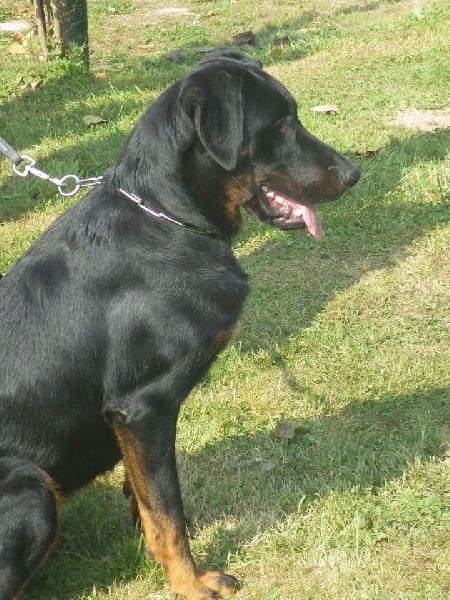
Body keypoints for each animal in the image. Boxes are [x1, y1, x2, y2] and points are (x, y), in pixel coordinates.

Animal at [0, 52, 359, 600]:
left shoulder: (131, 423)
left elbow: (149, 499)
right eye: (280, 124)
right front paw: (192, 582)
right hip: (29, 485)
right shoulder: (143, 407)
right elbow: (169, 510)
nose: (354, 172)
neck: (167, 217)